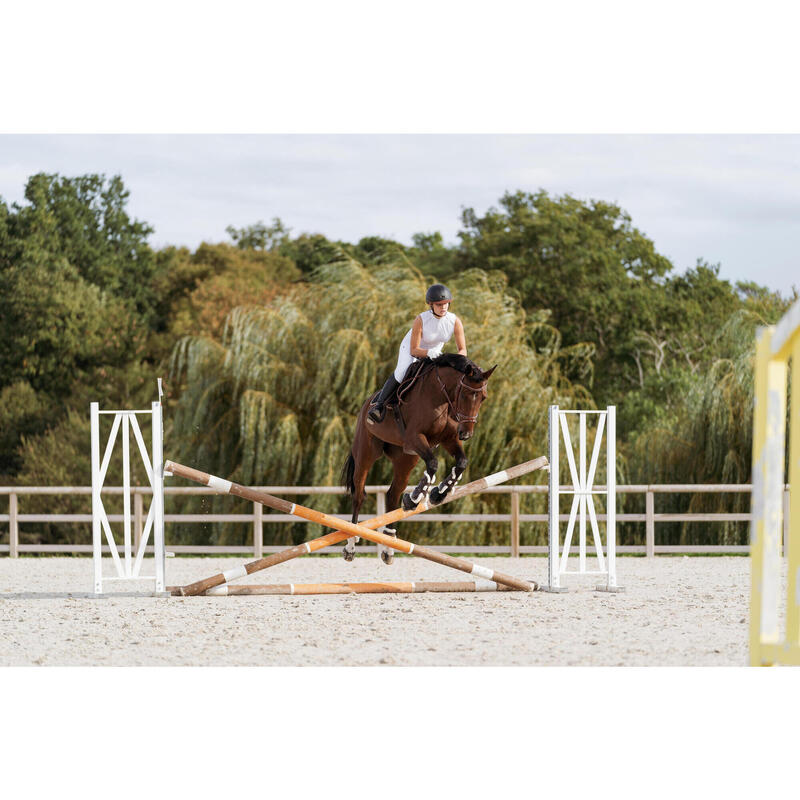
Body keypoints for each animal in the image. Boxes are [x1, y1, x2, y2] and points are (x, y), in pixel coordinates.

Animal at [340, 354, 496, 564]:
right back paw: (351, 545)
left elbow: (461, 463)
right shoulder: (415, 438)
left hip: (405, 459)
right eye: (464, 394)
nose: (466, 434)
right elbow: (433, 463)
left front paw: (438, 493)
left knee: (392, 494)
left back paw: (389, 546)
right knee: (358, 494)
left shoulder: (448, 439)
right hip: (366, 451)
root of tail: (367, 402)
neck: (441, 398)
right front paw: (415, 498)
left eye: (483, 397)